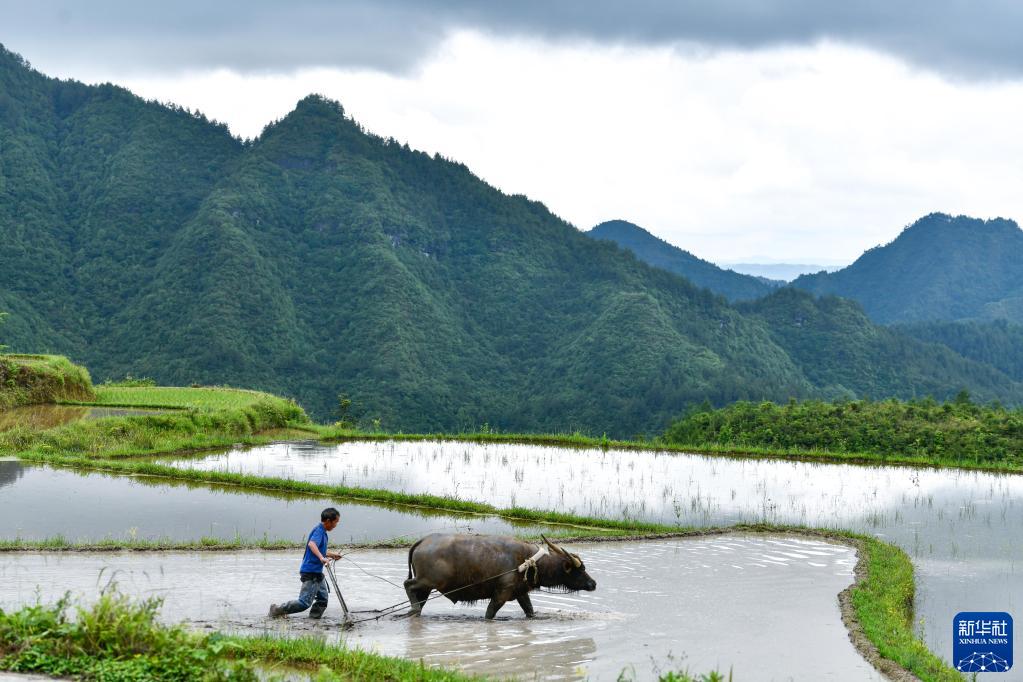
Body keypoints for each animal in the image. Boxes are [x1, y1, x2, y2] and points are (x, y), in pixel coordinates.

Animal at [401, 531, 597, 617]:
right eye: (581, 569)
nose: (593, 584)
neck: (526, 561)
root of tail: (423, 541)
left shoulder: (521, 592)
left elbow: (529, 610)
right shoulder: (501, 593)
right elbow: (490, 613)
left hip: (427, 587)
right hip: (428, 581)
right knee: (408, 584)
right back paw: (413, 609)